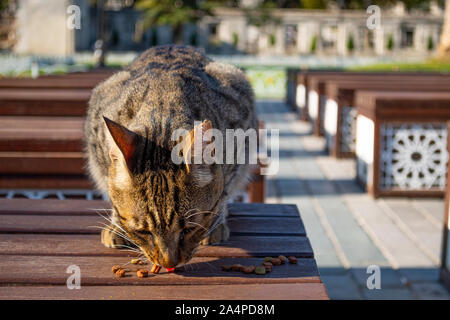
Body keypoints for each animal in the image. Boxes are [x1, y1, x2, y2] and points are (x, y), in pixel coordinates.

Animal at [83, 45, 256, 268]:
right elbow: (110, 186)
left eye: (189, 229)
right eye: (143, 232)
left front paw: (215, 222)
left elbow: (224, 191)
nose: (168, 263)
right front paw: (117, 225)